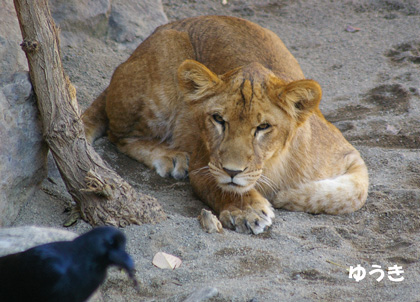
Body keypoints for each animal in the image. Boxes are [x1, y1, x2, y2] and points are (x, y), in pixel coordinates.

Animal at [82, 15, 368, 235]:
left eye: (263, 127)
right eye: (218, 119)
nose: (232, 170)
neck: (273, 165)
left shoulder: (349, 155)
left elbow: (354, 194)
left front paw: (284, 195)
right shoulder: (203, 164)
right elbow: (225, 188)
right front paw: (248, 211)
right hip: (166, 61)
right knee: (119, 135)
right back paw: (172, 156)